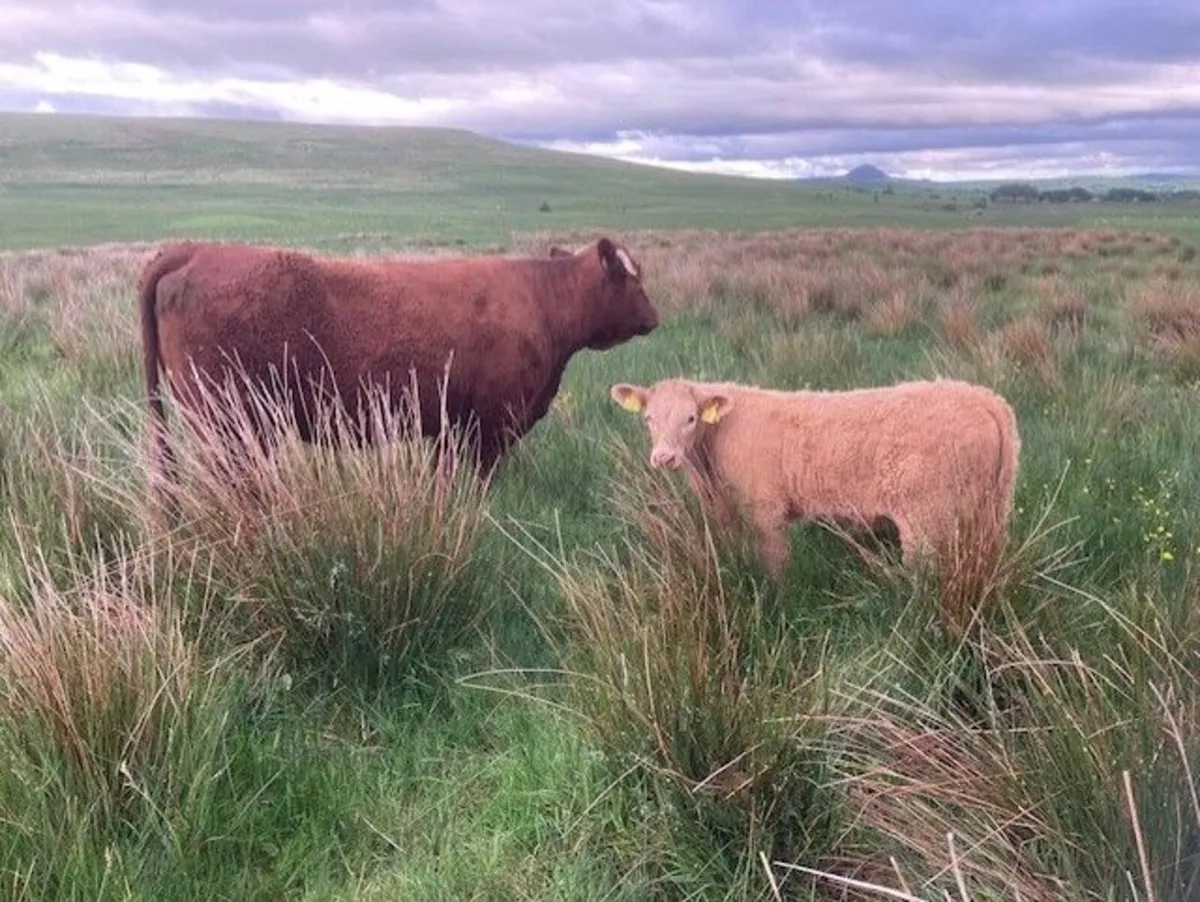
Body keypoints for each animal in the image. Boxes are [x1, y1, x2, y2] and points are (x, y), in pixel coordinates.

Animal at [139, 237, 659, 487]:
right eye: (633, 279)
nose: (654, 318)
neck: (542, 299)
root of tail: (195, 249)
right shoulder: (491, 425)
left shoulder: (453, 426)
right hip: (229, 423)